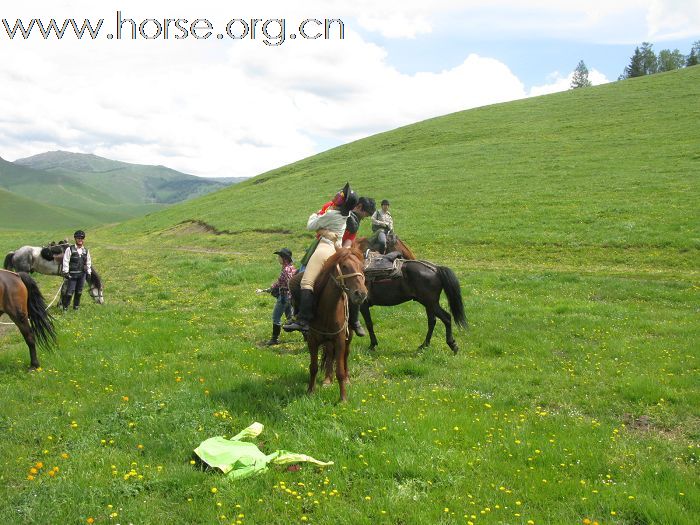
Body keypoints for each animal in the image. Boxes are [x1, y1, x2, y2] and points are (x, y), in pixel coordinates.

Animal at [308, 248, 370, 400]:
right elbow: (313, 367)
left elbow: (340, 370)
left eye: (362, 267)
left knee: (345, 355)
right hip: (328, 340)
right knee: (330, 354)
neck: (326, 310)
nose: (361, 294)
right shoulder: (312, 340)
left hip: (349, 336)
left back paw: (347, 379)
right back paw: (327, 379)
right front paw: (310, 391)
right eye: (345, 266)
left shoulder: (340, 340)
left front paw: (343, 398)